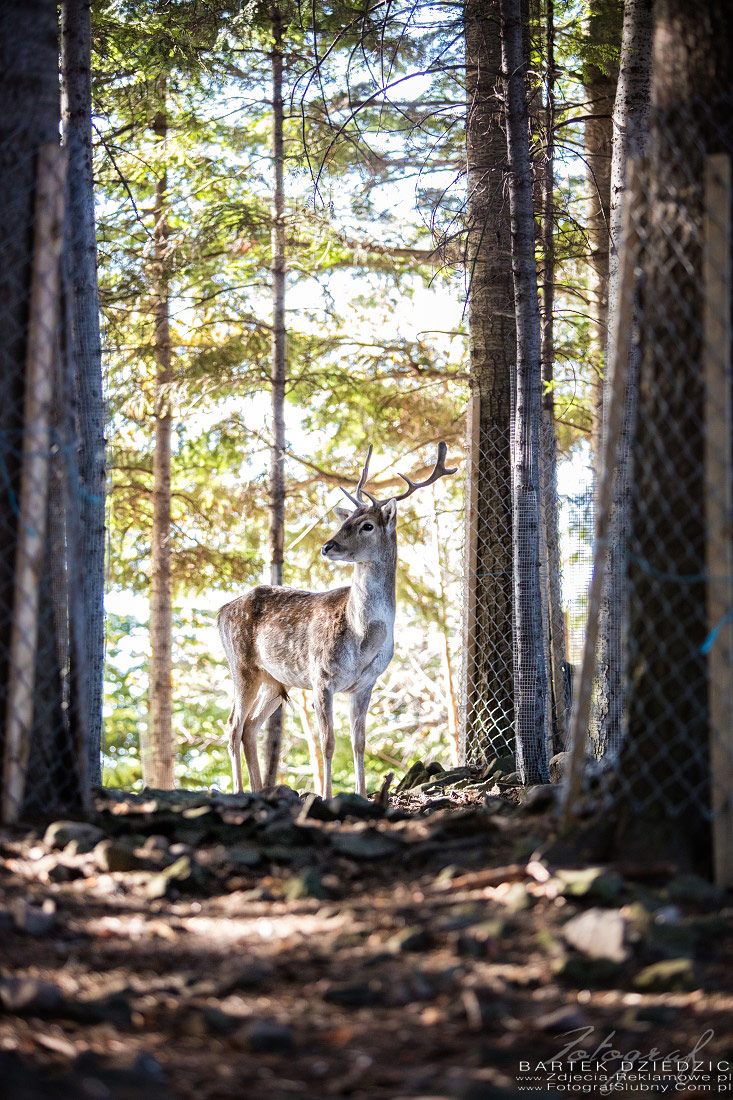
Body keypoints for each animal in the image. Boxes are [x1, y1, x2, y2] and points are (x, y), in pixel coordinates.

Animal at [216, 444, 453, 800]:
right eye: (346, 522)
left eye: (366, 525)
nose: (328, 546)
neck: (362, 636)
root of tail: (220, 612)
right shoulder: (321, 676)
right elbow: (328, 743)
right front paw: (326, 795)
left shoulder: (366, 683)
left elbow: (359, 743)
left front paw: (362, 793)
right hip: (242, 666)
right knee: (233, 725)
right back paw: (240, 791)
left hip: (275, 680)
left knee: (249, 727)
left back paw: (259, 791)